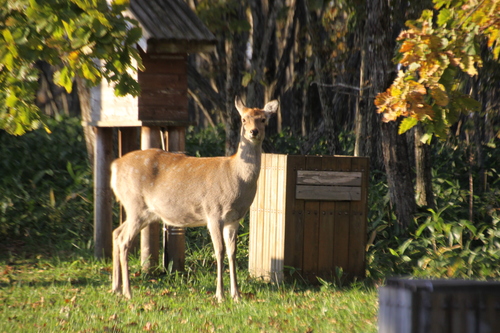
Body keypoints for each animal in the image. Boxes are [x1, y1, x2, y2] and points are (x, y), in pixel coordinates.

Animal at [110, 95, 280, 300]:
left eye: (263, 119)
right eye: (244, 119)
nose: (253, 132)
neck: (236, 177)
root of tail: (114, 167)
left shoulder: (235, 219)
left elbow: (232, 252)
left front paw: (237, 295)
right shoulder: (213, 212)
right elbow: (219, 251)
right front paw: (220, 295)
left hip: (145, 213)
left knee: (116, 233)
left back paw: (116, 288)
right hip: (134, 204)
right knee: (124, 240)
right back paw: (128, 292)